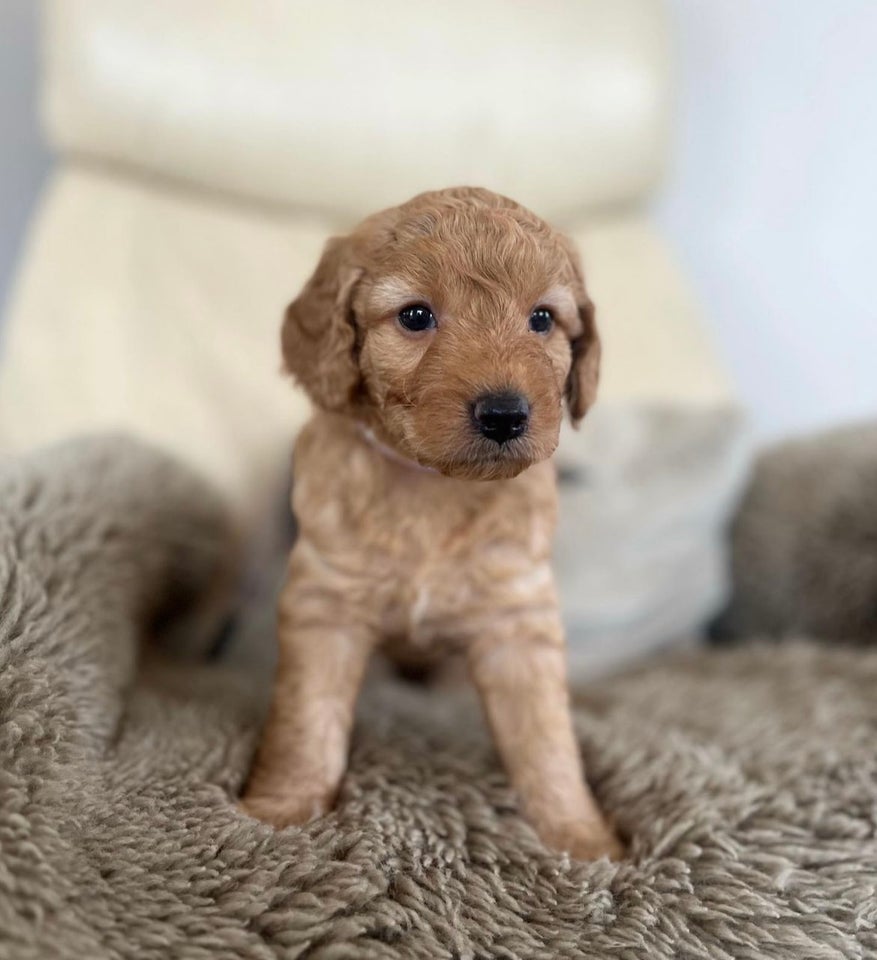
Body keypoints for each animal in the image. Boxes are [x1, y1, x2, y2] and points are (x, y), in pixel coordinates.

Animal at [241, 184, 624, 860]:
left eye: (542, 319)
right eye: (415, 317)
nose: (505, 414)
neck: (433, 486)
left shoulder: (518, 616)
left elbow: (546, 740)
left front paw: (581, 837)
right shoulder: (325, 606)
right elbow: (306, 719)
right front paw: (280, 810)